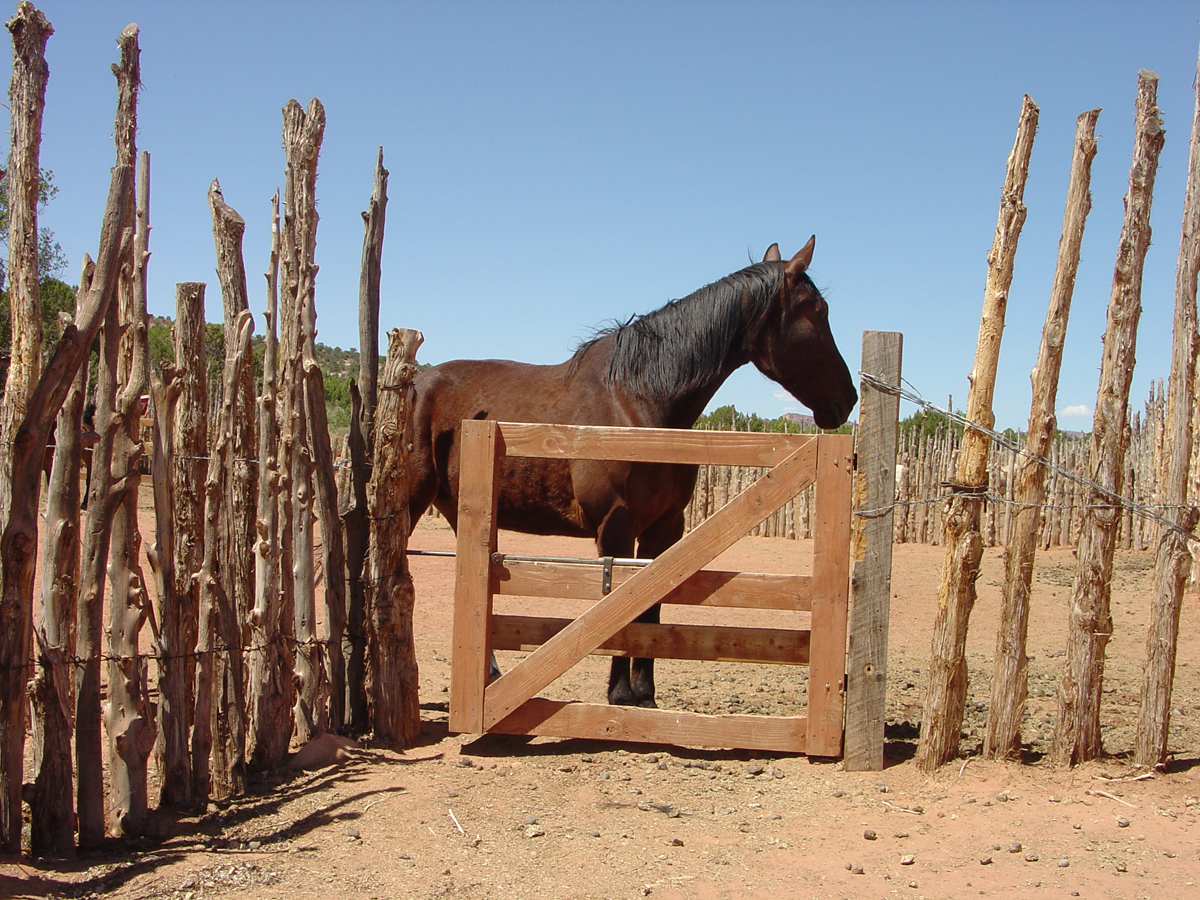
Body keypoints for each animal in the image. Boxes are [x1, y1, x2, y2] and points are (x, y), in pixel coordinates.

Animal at [408, 240, 859, 710]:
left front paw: (645, 695)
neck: (638, 403)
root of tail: (414, 384)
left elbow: (650, 607)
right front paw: (620, 692)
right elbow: (620, 606)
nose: (848, 398)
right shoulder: (616, 525)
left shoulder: (666, 527)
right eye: (818, 310)